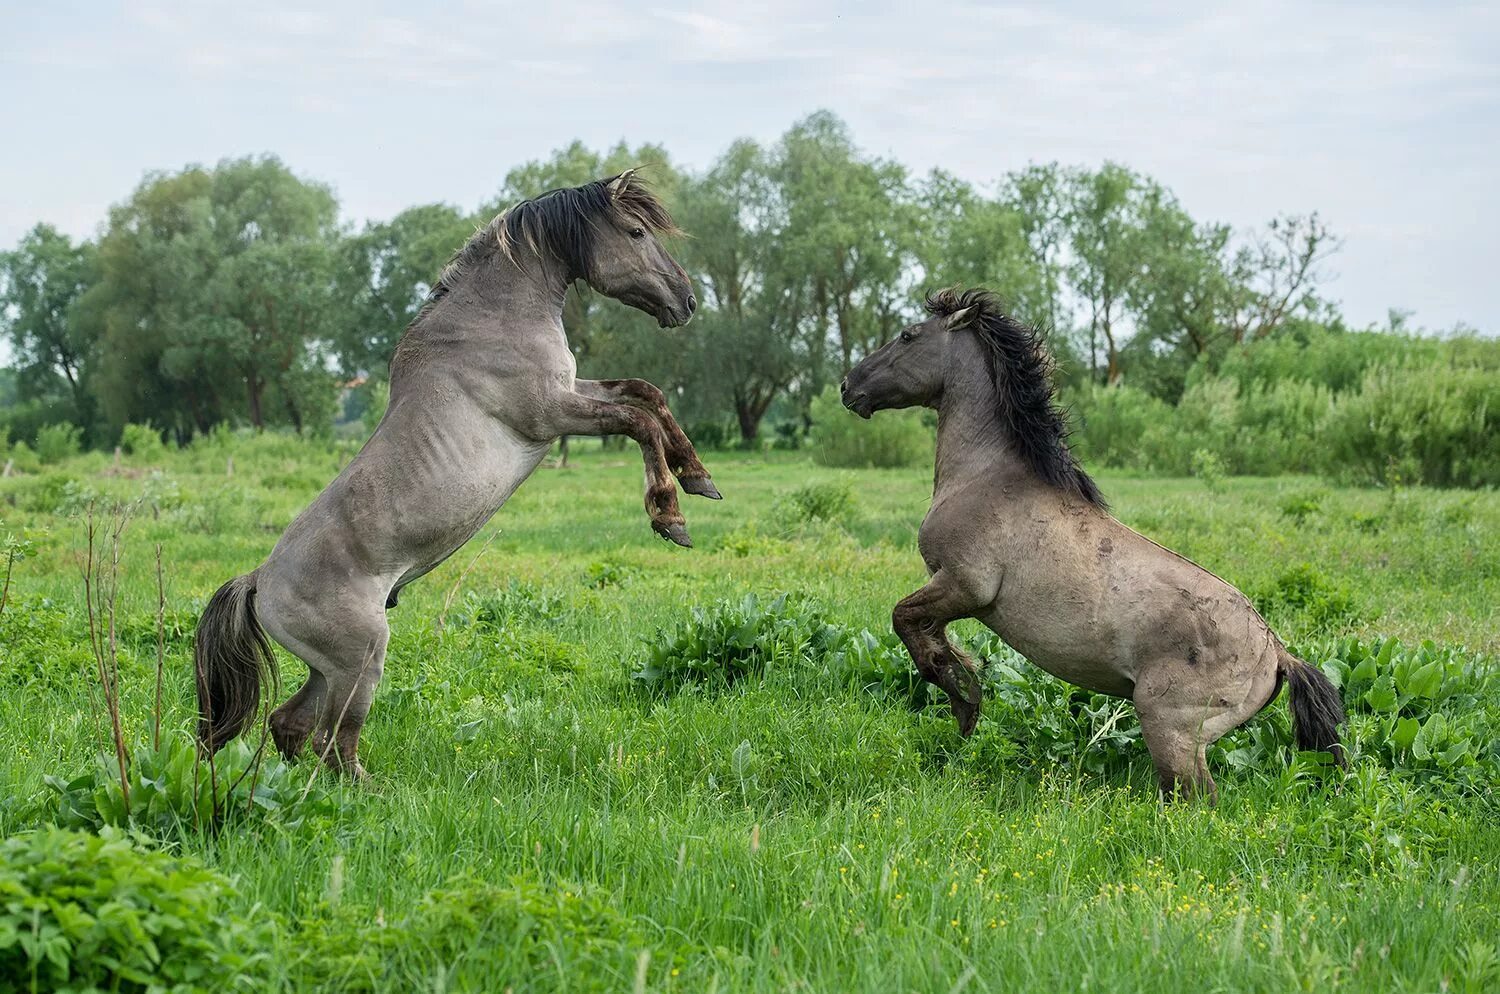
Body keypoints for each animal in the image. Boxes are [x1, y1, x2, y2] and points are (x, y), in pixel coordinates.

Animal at [195, 170, 720, 779]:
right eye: (635, 232)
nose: (686, 300)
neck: (491, 319)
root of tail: (259, 580)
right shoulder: (551, 412)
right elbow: (639, 421)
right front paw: (670, 516)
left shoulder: (573, 391)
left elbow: (647, 395)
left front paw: (700, 478)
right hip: (361, 661)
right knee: (334, 739)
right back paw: (371, 792)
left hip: (326, 670)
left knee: (291, 724)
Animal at [840, 287, 1344, 803]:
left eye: (907, 335)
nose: (847, 386)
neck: (985, 478)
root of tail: (1278, 653)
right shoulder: (950, 593)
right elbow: (925, 631)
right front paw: (965, 694)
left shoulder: (964, 586)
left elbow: (907, 625)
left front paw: (964, 696)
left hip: (1170, 731)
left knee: (1196, 800)